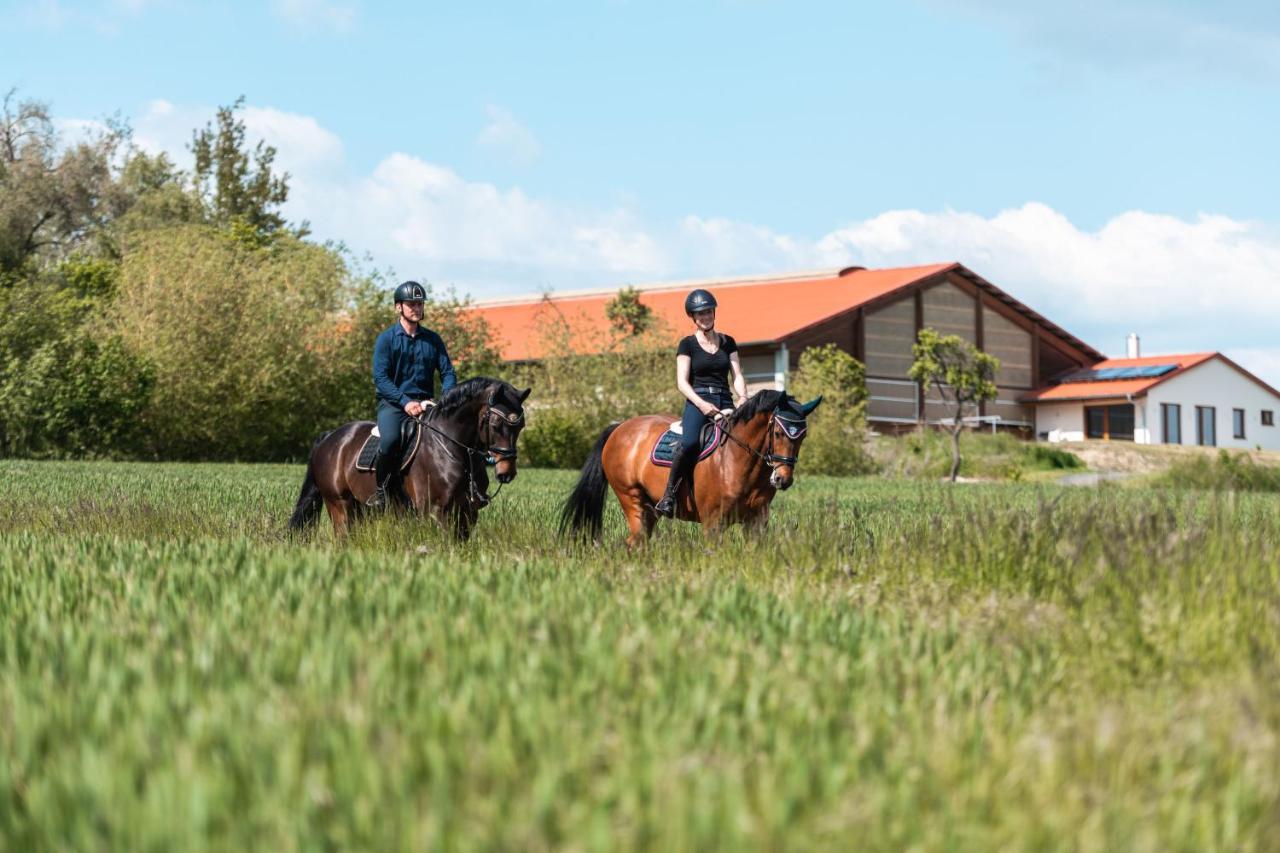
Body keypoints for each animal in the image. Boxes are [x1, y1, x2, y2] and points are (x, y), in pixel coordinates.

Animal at [290, 376, 529, 535]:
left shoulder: (467, 512)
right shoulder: (436, 511)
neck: (451, 448)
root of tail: (330, 437)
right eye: (496, 425)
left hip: (361, 509)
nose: (507, 472)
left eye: (521, 426)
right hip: (339, 505)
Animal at [558, 386, 819, 545]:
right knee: (636, 539)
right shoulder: (713, 525)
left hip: (650, 509)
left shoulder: (756, 524)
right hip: (631, 499)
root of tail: (619, 427)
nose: (782, 479)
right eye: (778, 432)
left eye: (803, 436)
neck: (737, 462)